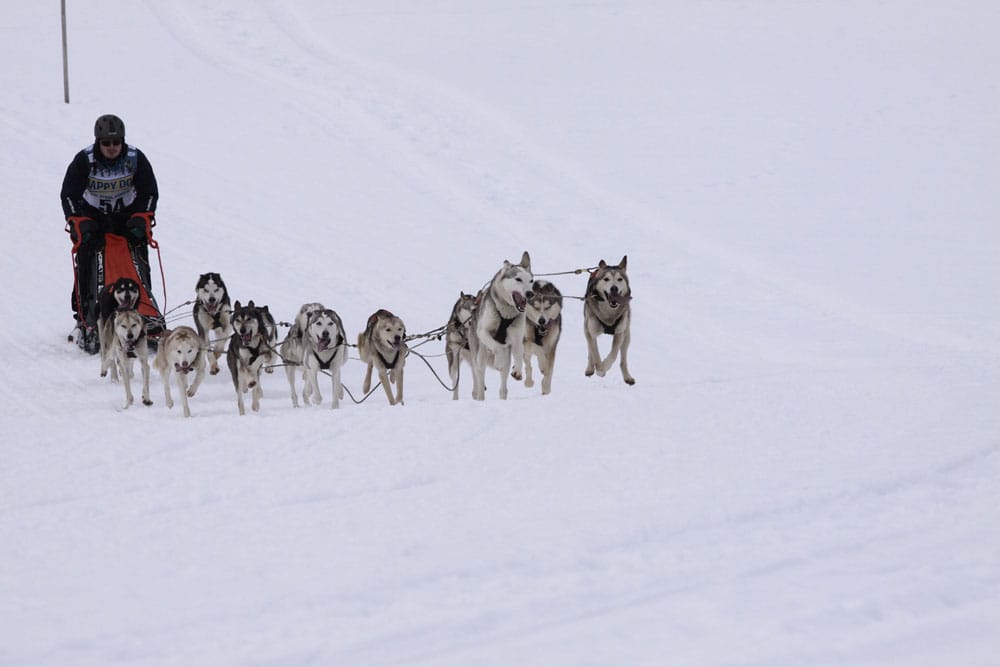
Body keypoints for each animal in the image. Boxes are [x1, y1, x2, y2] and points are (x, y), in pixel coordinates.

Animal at [468, 251, 533, 400]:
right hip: (479, 358)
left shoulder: (517, 338)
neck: (505, 313)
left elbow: (518, 354)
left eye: (531, 281)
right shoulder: (483, 332)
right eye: (518, 279)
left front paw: (518, 370)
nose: (530, 293)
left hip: (504, 367)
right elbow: (498, 346)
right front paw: (498, 358)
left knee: (503, 386)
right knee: (480, 383)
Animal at [583, 255, 635, 385]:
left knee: (623, 359)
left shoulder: (619, 333)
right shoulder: (591, 331)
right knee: (590, 350)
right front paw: (600, 369)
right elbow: (594, 352)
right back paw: (590, 368)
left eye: (619, 279)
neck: (609, 314)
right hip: (586, 327)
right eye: (606, 279)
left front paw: (604, 367)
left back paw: (627, 377)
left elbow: (614, 354)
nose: (614, 288)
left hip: (627, 335)